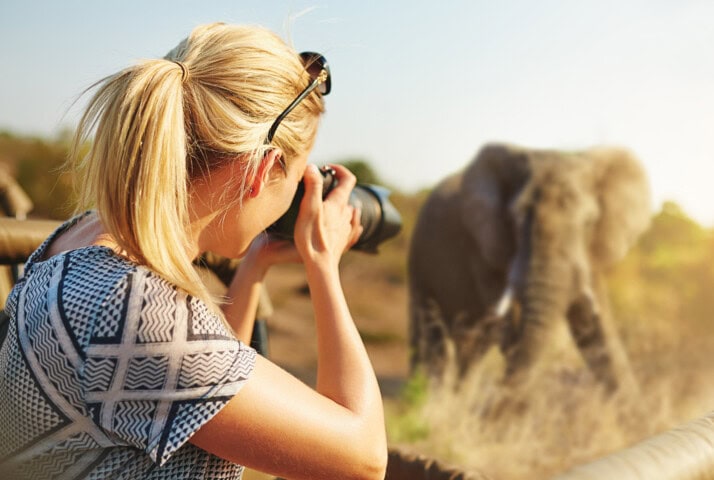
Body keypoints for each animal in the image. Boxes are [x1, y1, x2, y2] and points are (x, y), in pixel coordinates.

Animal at [408, 143, 651, 391]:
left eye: (590, 222)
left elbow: (592, 326)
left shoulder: (589, 252)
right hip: (419, 266)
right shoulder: (484, 250)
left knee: (471, 353)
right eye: (516, 217)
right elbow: (510, 330)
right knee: (432, 344)